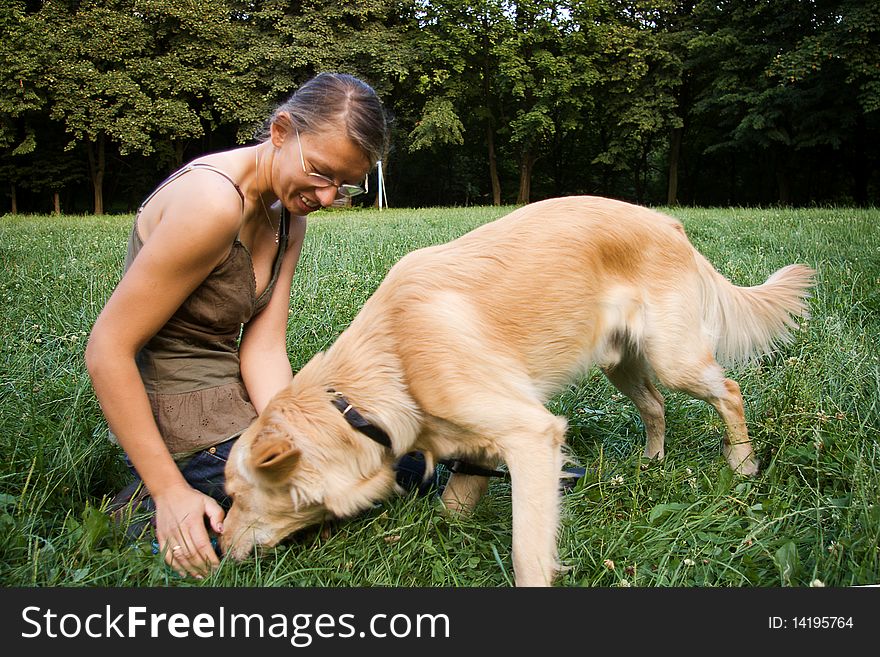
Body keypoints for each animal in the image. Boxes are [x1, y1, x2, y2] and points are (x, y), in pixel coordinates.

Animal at [218, 193, 812, 584]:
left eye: (237, 496)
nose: (219, 551)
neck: (388, 366)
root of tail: (669, 223)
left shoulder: (532, 436)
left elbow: (529, 551)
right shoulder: (477, 444)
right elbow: (454, 507)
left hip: (675, 358)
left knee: (729, 390)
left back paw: (742, 465)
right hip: (621, 364)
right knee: (656, 406)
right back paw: (652, 462)